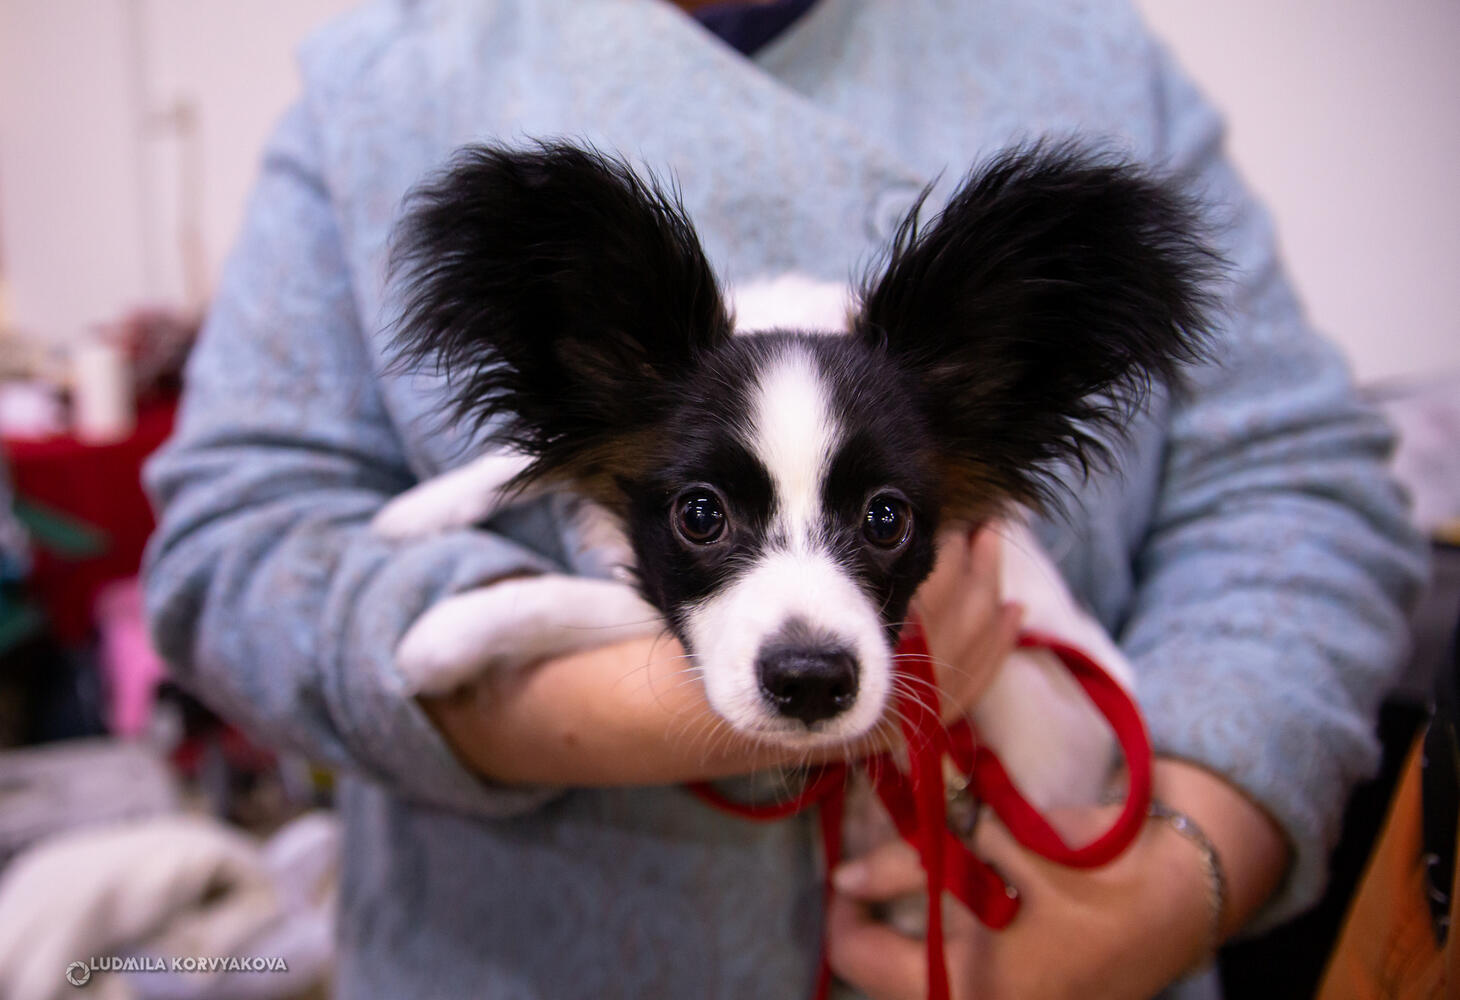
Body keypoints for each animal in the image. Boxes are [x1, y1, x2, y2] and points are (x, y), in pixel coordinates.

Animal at [371, 140, 1216, 812]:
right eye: (700, 515)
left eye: (887, 519)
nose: (811, 679)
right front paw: (418, 510)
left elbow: (601, 599)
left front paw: (449, 635)